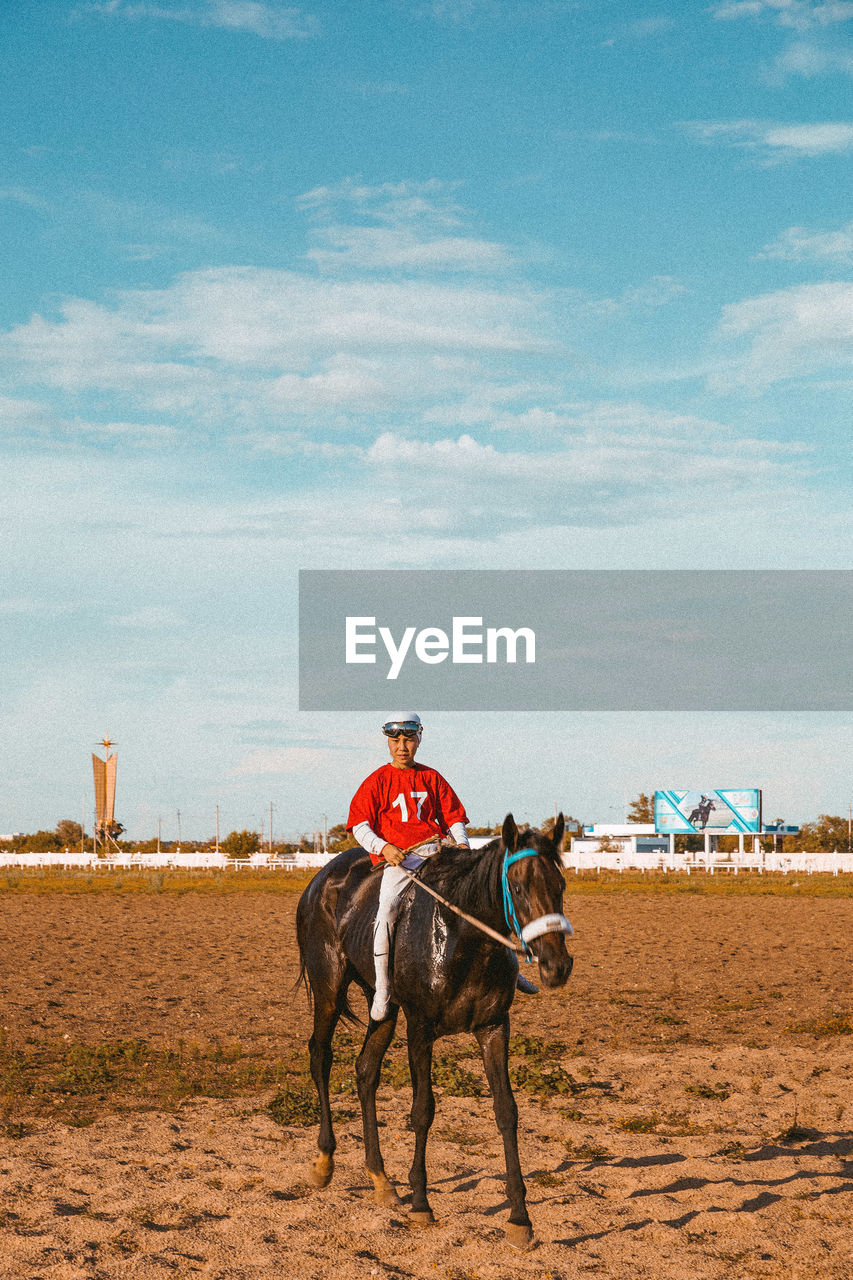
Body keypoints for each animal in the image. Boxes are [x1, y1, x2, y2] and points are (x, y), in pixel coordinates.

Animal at [295, 814, 573, 1244]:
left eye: (560, 885)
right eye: (517, 887)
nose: (557, 965)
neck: (463, 939)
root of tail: (320, 880)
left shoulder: (494, 1027)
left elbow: (506, 1111)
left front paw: (519, 1217)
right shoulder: (420, 1029)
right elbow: (422, 1110)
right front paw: (422, 1202)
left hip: (383, 1006)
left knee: (365, 1071)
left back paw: (380, 1178)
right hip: (328, 988)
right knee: (320, 1057)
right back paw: (325, 1160)